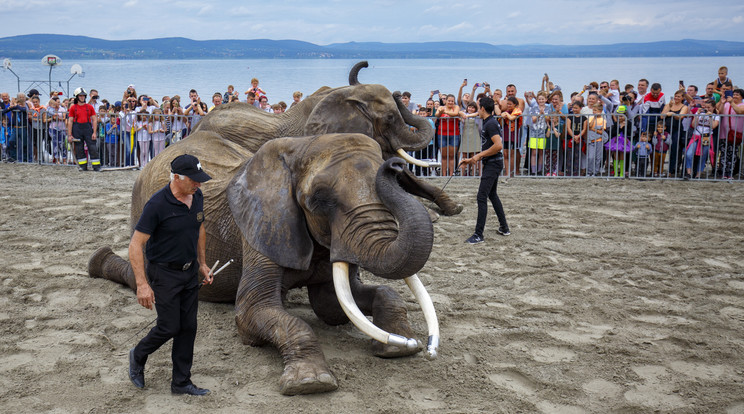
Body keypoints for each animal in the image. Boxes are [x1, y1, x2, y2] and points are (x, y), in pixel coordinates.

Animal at [89, 133, 438, 394]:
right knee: (144, 276)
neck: (299, 149)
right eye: (320, 199)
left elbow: (333, 306)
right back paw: (98, 262)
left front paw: (401, 346)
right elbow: (253, 311)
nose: (394, 164)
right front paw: (310, 383)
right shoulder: (259, 226)